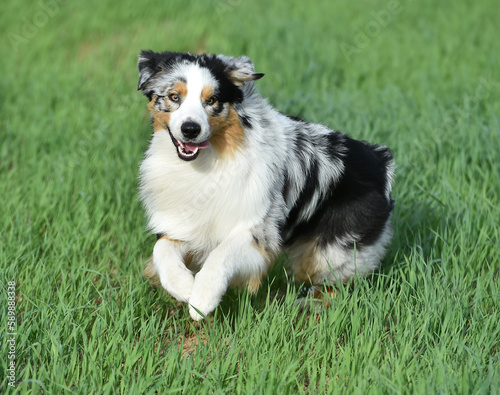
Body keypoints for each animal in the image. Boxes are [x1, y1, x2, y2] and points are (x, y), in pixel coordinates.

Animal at [138, 50, 394, 322]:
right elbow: (161, 249)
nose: (190, 129)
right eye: (174, 96)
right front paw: (185, 287)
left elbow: (221, 254)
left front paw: (202, 300)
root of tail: (379, 159)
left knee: (335, 286)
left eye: (212, 100)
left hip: (333, 252)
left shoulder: (260, 230)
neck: (210, 160)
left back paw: (303, 305)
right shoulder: (186, 223)